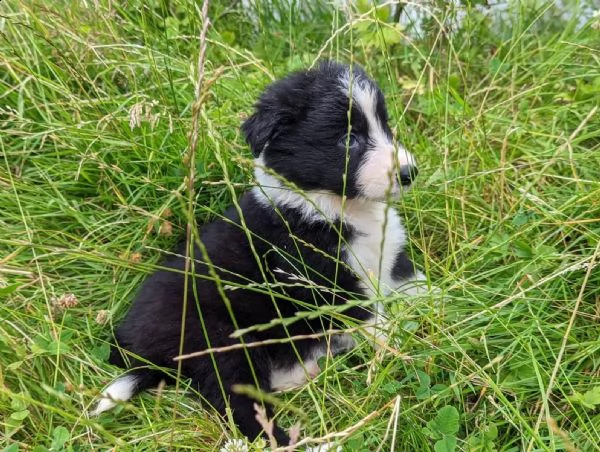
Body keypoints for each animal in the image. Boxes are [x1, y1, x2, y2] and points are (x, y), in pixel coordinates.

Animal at [92, 61, 422, 444]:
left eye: (385, 125)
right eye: (348, 140)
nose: (409, 172)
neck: (339, 208)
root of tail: (140, 351)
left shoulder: (391, 262)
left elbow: (416, 284)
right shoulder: (327, 284)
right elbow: (375, 321)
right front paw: (405, 344)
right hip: (222, 341)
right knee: (238, 405)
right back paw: (290, 440)